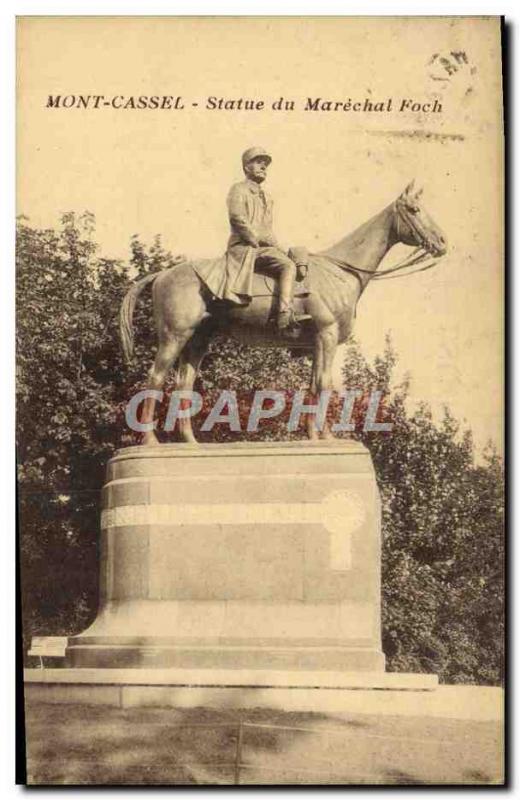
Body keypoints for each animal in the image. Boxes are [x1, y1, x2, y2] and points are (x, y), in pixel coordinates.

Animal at [120, 181, 444, 444]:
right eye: (414, 209)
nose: (442, 242)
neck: (339, 271)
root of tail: (162, 274)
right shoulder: (326, 335)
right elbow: (325, 384)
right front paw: (328, 437)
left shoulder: (316, 343)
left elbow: (313, 385)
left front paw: (314, 437)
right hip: (174, 336)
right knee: (155, 378)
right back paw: (149, 441)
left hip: (198, 340)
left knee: (183, 385)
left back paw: (189, 442)